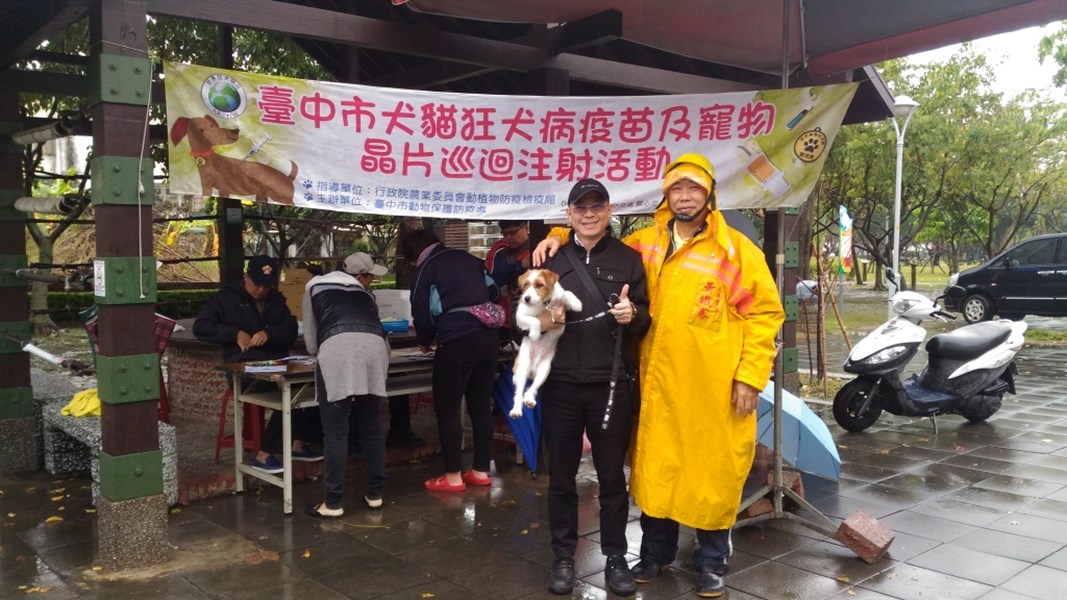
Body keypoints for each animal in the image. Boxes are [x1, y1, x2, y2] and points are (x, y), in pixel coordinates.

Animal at [510, 266, 584, 416]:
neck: (544, 303)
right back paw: (516, 410)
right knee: (519, 393)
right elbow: (535, 320)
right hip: (522, 370)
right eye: (526, 285)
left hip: (544, 371)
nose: (526, 298)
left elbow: (567, 293)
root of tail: (532, 371)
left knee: (531, 389)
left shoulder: (561, 305)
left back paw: (529, 400)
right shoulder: (520, 315)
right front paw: (535, 334)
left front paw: (576, 303)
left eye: (539, 285)